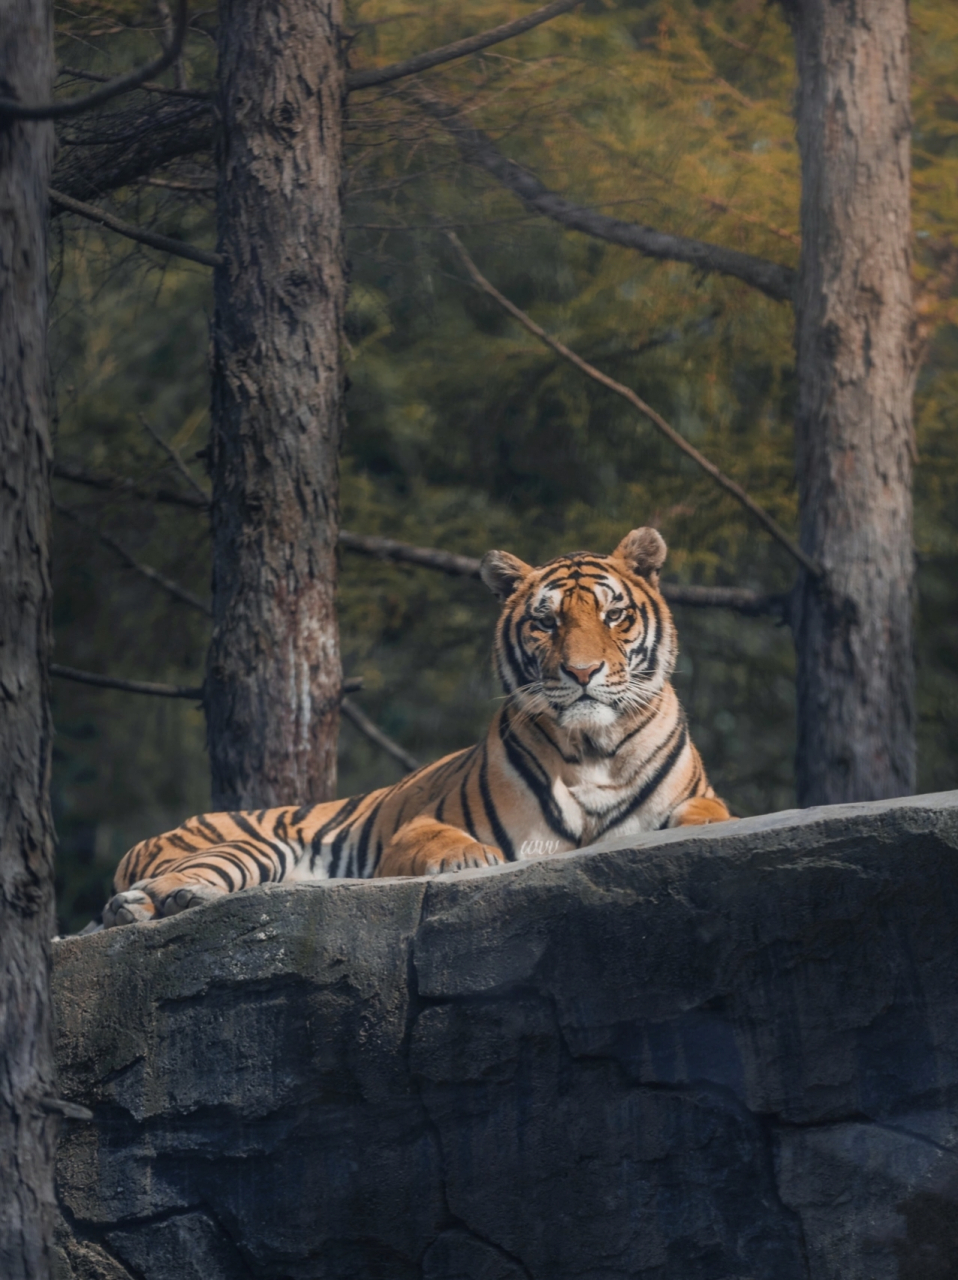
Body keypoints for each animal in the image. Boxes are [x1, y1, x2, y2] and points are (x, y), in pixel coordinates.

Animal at [101, 529, 727, 931]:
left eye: (613, 615)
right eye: (545, 622)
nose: (581, 672)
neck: (594, 747)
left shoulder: (701, 798)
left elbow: (707, 815)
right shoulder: (417, 828)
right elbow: (444, 841)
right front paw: (470, 859)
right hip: (247, 846)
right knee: (173, 885)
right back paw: (168, 900)